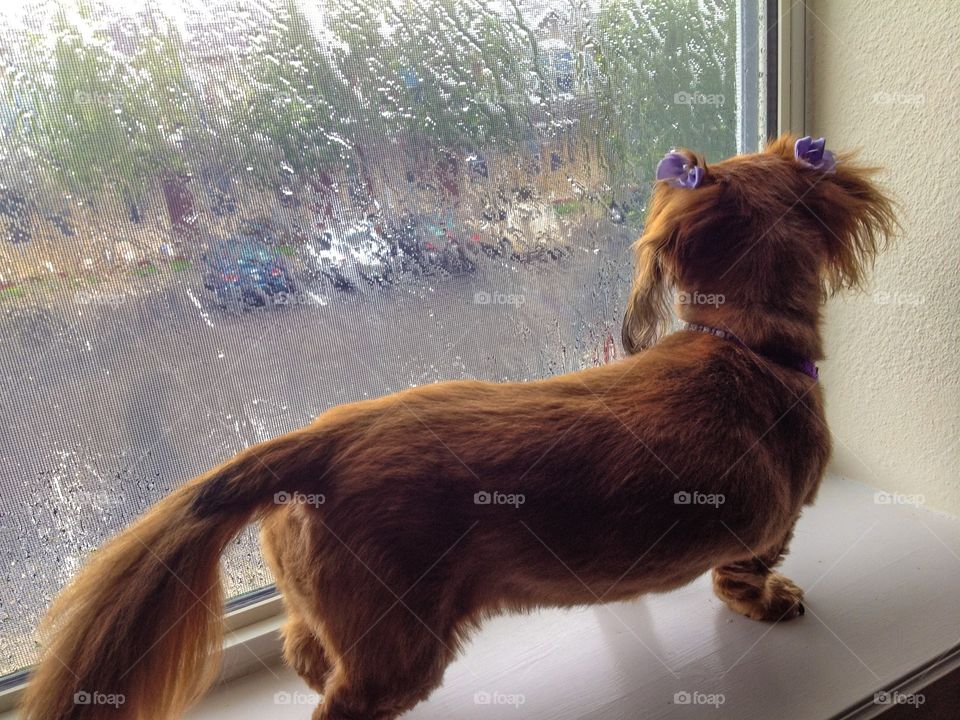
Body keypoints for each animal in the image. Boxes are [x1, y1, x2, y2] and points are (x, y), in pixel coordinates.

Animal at [20, 135, 892, 720]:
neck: (744, 343)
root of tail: (318, 442)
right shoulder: (768, 528)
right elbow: (743, 576)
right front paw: (771, 601)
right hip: (400, 647)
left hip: (328, 606)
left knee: (305, 650)